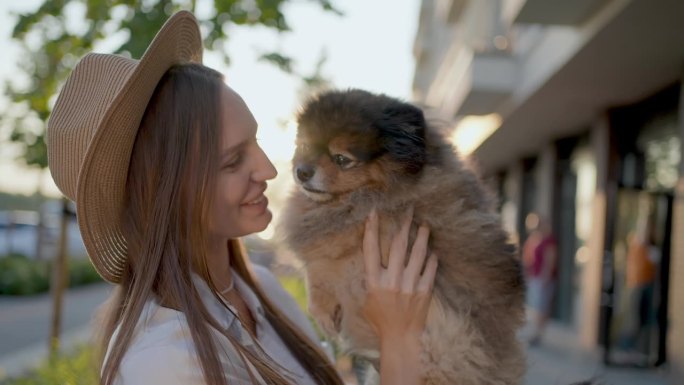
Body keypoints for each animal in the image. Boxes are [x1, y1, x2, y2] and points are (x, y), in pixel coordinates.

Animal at [278, 89, 524, 384]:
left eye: (341, 159)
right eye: (304, 146)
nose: (302, 171)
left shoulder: (367, 249)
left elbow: (325, 265)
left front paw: (323, 313)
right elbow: (316, 268)